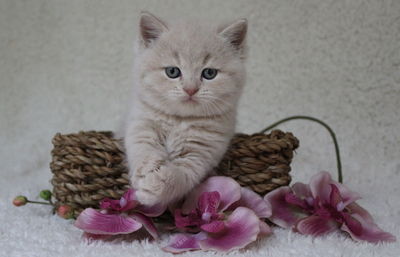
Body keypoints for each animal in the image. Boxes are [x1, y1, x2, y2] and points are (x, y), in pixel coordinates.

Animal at [123, 12, 247, 206]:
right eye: (172, 71)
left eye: (209, 73)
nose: (190, 89)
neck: (179, 120)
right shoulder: (140, 125)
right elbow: (143, 148)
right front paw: (147, 168)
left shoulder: (200, 153)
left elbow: (180, 177)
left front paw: (155, 186)